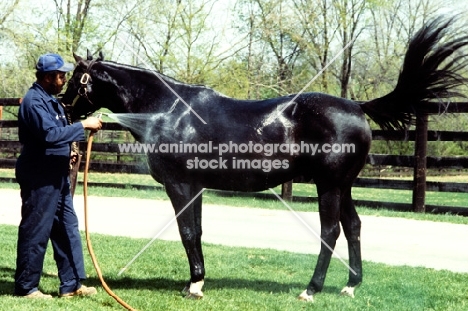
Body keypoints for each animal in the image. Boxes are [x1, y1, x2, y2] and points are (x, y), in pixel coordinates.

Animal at [60, 17, 468, 302]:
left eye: (76, 78)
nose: (62, 108)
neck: (169, 110)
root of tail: (356, 106)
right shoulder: (196, 187)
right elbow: (197, 231)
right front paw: (198, 281)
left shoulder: (180, 185)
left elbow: (187, 232)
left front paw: (194, 286)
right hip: (344, 185)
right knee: (353, 226)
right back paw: (350, 286)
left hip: (329, 185)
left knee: (331, 231)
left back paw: (311, 289)